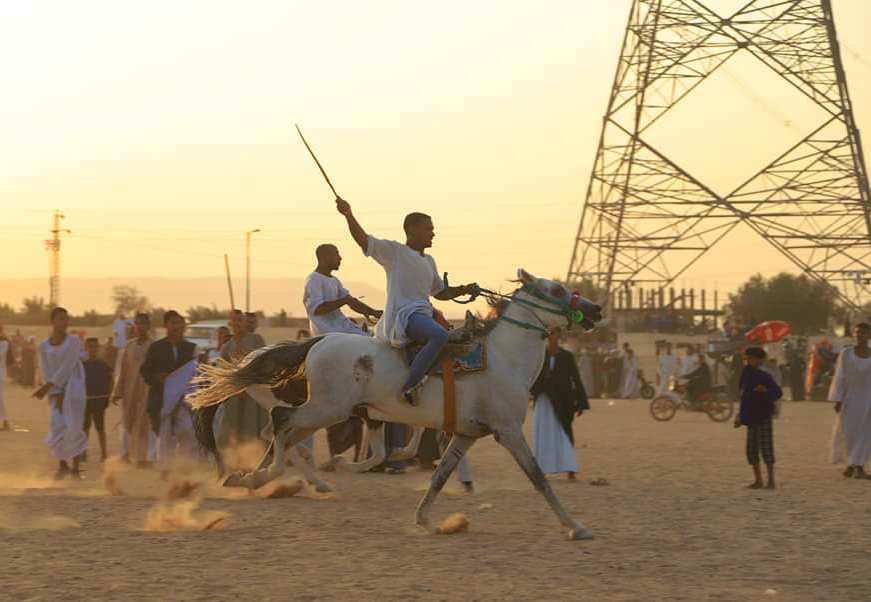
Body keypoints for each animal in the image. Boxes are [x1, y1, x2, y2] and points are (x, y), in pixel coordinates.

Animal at [190, 268, 600, 540]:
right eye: (556, 288)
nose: (595, 309)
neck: (504, 358)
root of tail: (317, 342)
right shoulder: (508, 430)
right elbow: (538, 477)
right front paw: (576, 526)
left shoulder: (467, 434)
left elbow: (440, 475)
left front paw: (423, 518)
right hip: (326, 409)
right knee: (279, 420)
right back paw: (270, 475)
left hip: (325, 411)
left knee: (285, 434)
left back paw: (252, 477)